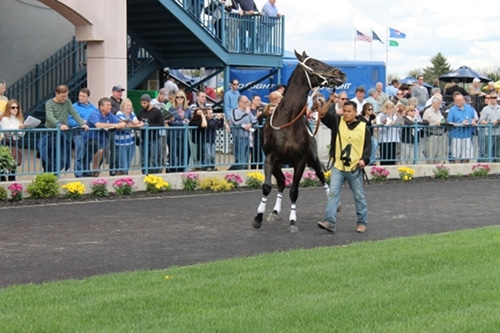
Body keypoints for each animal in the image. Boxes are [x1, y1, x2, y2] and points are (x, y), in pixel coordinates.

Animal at [252, 50, 346, 231]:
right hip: (277, 163)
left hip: (313, 159)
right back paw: (274, 212)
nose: (340, 73)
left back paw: (335, 204)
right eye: (314, 63)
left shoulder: (300, 160)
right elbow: (267, 187)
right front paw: (258, 217)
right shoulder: (270, 157)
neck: (288, 119)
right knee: (281, 182)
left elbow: (294, 191)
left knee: (322, 176)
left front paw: (293, 221)